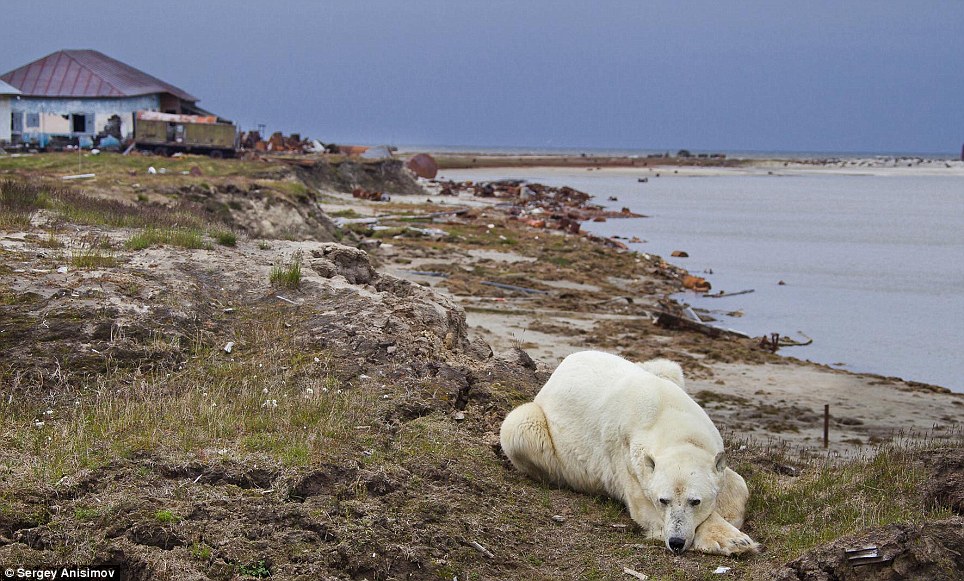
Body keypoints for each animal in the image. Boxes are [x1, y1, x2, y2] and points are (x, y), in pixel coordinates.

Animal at [500, 348, 756, 552]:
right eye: (663, 500)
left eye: (695, 501)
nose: (675, 542)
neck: (667, 416)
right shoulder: (629, 462)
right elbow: (645, 511)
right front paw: (732, 540)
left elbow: (737, 483)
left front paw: (731, 515)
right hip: (536, 427)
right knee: (519, 427)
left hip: (659, 369)